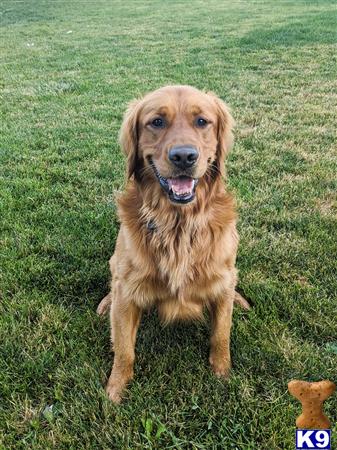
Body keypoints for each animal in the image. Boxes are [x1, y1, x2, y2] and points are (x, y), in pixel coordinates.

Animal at [97, 85, 249, 404]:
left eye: (202, 121)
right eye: (156, 122)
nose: (184, 156)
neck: (178, 223)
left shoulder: (221, 276)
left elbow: (221, 332)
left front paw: (222, 372)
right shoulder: (127, 291)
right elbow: (124, 349)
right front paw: (115, 390)